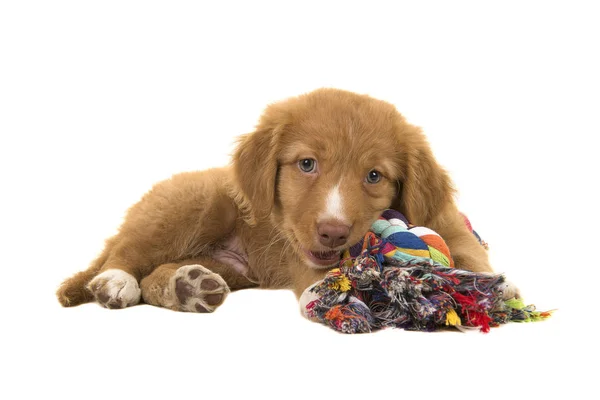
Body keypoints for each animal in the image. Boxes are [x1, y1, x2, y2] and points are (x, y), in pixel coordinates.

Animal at [56, 88, 516, 316]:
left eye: (374, 176)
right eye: (307, 164)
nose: (333, 232)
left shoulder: (446, 220)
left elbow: (470, 252)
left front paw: (495, 291)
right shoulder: (298, 243)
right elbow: (320, 270)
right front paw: (331, 292)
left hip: (232, 267)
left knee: (156, 277)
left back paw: (187, 287)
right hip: (191, 205)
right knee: (127, 251)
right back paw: (116, 281)